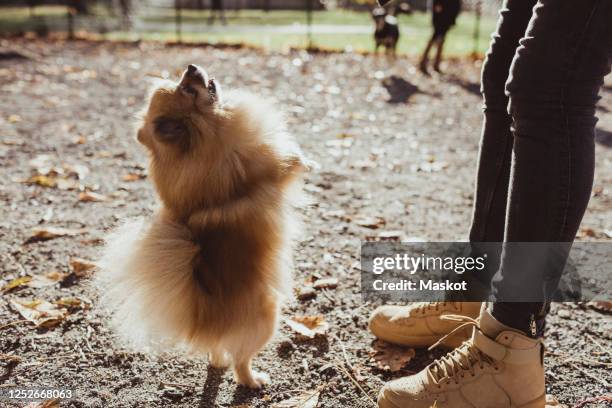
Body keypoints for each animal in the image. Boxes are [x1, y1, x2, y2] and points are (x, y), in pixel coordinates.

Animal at [98, 63, 308, 388]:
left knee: (217, 351)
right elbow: (286, 164)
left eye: (181, 81)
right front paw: (302, 160)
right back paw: (254, 380)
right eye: (187, 88)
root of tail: (203, 318)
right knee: (240, 361)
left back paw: (218, 362)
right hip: (268, 318)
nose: (191, 67)